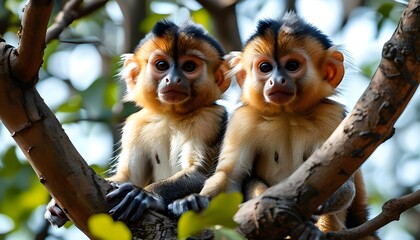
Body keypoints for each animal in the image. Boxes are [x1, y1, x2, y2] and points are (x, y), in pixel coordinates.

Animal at [44, 18, 231, 225]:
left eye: (189, 67)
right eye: (161, 65)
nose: (173, 79)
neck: (171, 117)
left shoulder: (210, 118)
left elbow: (202, 174)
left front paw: (145, 195)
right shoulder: (136, 124)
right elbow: (128, 177)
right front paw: (56, 206)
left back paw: (189, 204)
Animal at [169, 12, 376, 238]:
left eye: (292, 65)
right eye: (265, 68)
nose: (276, 80)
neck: (287, 114)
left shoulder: (331, 116)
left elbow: (345, 185)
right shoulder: (244, 119)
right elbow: (230, 177)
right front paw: (192, 202)